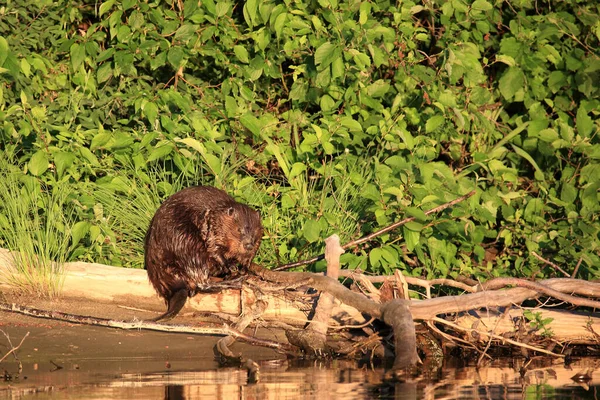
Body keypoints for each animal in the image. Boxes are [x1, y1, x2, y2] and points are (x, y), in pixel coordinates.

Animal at [145, 185, 262, 322]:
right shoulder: (213, 228)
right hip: (189, 243)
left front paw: (244, 268)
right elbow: (214, 248)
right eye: (239, 230)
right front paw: (231, 266)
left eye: (255, 231)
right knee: (202, 282)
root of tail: (175, 289)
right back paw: (236, 280)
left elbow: (250, 255)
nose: (248, 245)